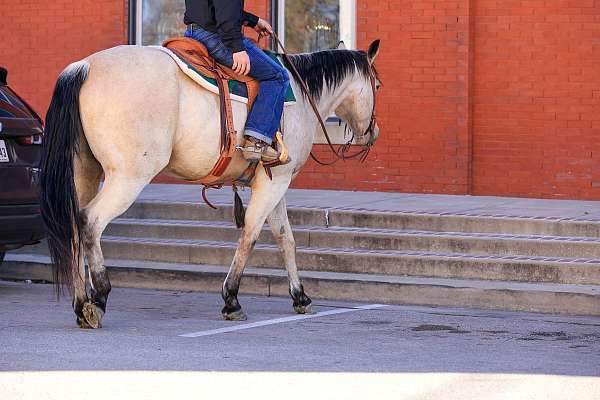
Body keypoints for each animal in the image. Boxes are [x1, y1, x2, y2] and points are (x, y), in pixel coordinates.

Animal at [41, 39, 380, 330]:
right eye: (377, 85)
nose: (372, 133)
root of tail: (85, 67)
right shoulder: (274, 184)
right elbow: (250, 236)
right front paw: (231, 299)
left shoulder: (274, 181)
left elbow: (286, 239)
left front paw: (300, 296)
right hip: (129, 176)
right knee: (90, 221)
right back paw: (99, 297)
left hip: (85, 173)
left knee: (74, 228)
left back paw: (81, 303)